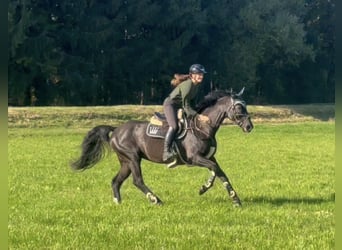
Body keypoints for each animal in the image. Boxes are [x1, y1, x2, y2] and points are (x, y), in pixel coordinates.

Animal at [71, 88, 254, 207]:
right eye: (239, 107)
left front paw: (235, 200)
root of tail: (115, 130)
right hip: (133, 158)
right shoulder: (195, 158)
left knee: (116, 181)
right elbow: (215, 170)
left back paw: (118, 203)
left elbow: (220, 173)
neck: (203, 126)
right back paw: (156, 200)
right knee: (137, 181)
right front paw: (204, 189)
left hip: (125, 162)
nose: (249, 127)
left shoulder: (209, 157)